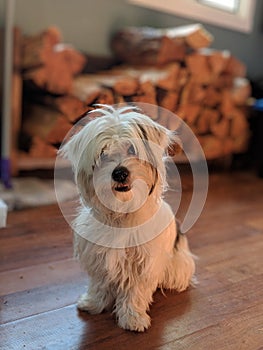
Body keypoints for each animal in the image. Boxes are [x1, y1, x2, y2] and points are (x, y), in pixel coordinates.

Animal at [60, 104, 196, 330]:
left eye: (132, 149)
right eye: (103, 154)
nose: (120, 173)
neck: (122, 212)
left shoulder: (144, 264)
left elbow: (136, 292)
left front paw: (133, 318)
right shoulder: (99, 258)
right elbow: (99, 284)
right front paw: (94, 303)